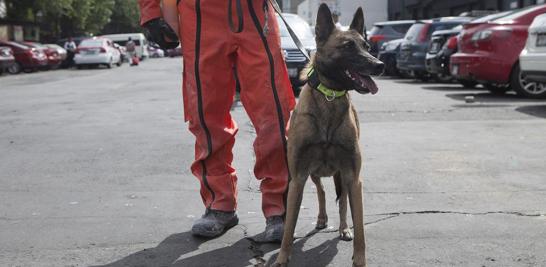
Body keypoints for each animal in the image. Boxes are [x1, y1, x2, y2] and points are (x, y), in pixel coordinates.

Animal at [272, 4, 382, 267]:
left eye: (367, 46)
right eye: (348, 46)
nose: (380, 65)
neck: (330, 96)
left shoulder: (353, 177)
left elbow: (359, 225)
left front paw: (359, 258)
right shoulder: (297, 177)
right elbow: (289, 225)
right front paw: (282, 257)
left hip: (341, 175)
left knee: (341, 202)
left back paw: (343, 228)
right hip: (313, 173)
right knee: (321, 191)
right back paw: (322, 218)